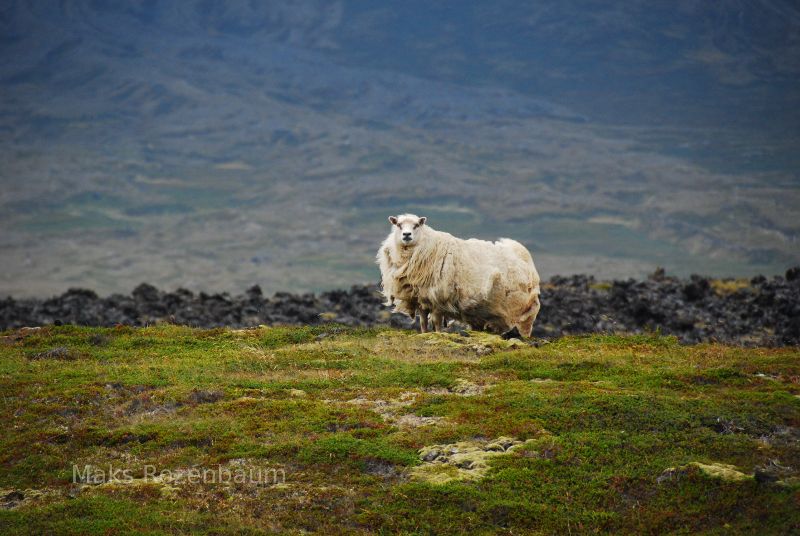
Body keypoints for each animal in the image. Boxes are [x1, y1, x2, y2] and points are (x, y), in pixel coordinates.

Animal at [376, 213, 540, 336]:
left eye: (416, 225)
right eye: (398, 225)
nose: (406, 235)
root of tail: (523, 254)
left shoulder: (438, 298)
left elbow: (436, 321)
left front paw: (438, 335)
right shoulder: (421, 297)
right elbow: (423, 321)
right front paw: (424, 334)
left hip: (526, 311)